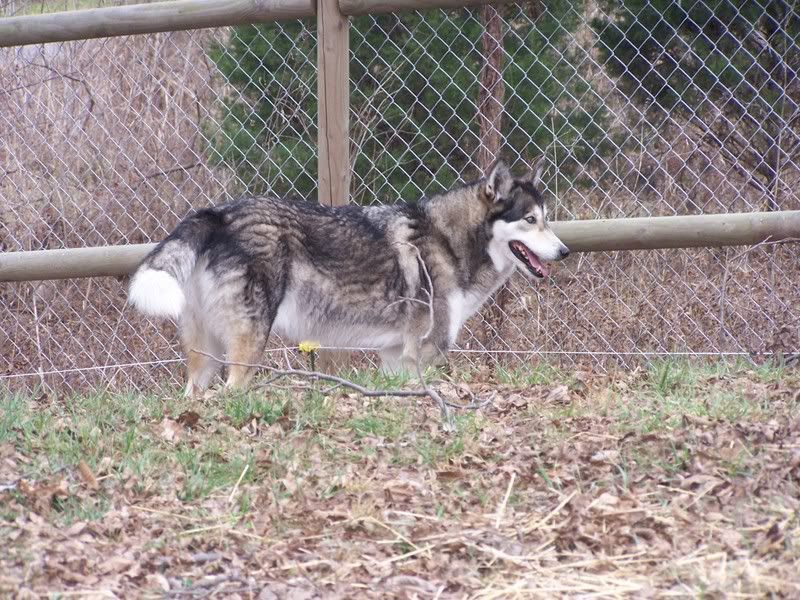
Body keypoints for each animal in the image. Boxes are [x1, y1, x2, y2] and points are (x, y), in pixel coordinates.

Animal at [128, 159, 570, 394]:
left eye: (547, 219)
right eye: (530, 220)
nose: (565, 251)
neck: (448, 240)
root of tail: (217, 214)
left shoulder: (395, 359)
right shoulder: (423, 356)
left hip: (204, 360)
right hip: (245, 350)